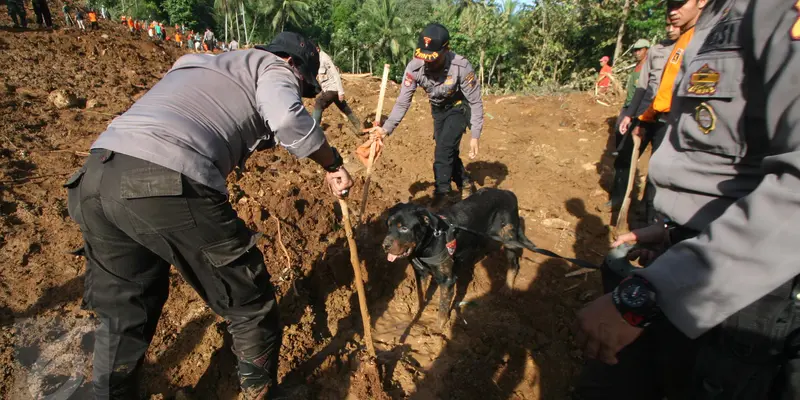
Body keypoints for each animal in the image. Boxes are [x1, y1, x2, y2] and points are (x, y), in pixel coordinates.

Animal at [382, 188, 536, 324]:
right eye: (388, 225)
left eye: (404, 228)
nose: (385, 245)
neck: (427, 243)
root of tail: (508, 193)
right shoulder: (420, 272)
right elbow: (420, 294)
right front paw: (416, 315)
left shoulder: (447, 280)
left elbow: (443, 307)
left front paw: (440, 328)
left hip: (508, 237)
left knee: (514, 264)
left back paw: (507, 288)